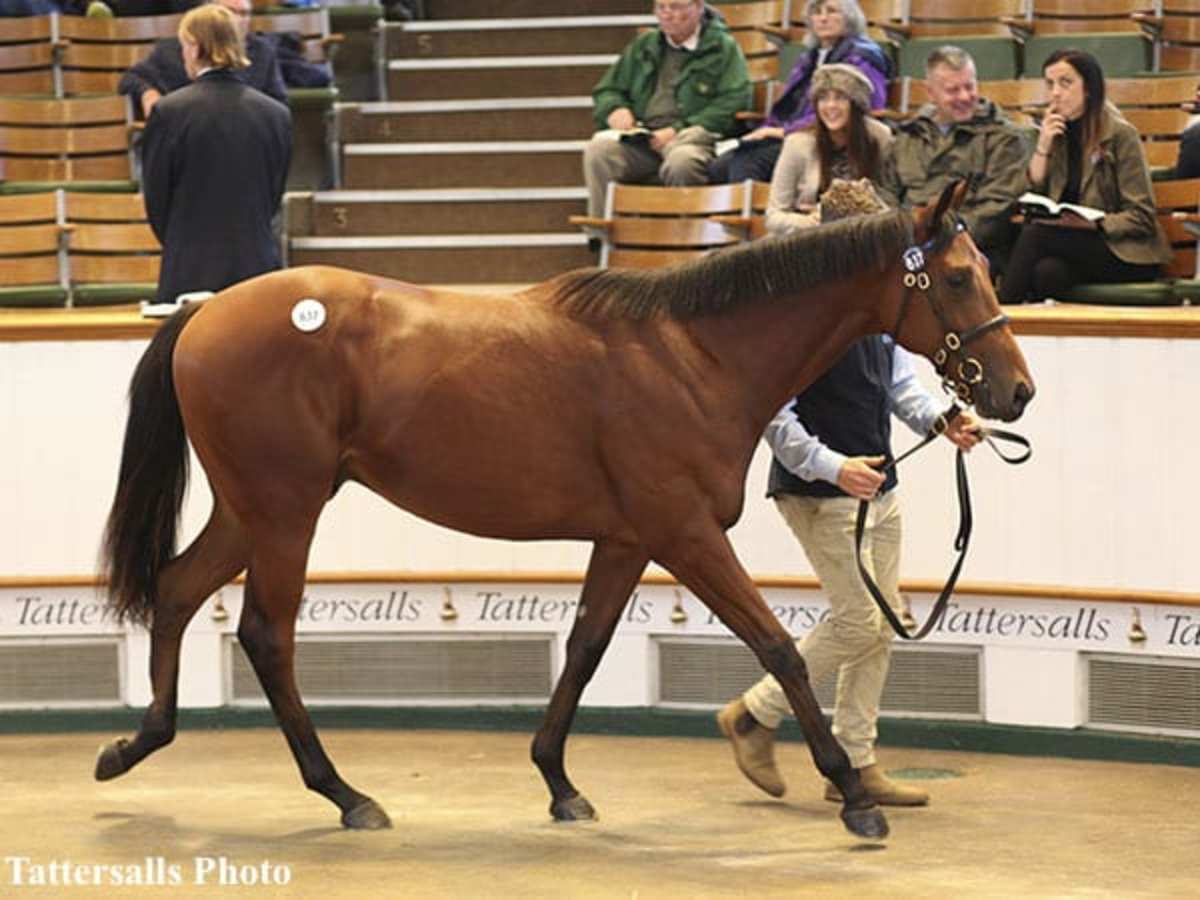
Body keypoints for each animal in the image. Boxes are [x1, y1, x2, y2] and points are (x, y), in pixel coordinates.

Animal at [96, 181, 1032, 844]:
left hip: (252, 509)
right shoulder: (686, 534)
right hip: (284, 512)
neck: (696, 355)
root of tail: (204, 313)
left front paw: (558, 781)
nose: (1016, 391)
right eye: (957, 277)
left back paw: (134, 746)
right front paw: (849, 794)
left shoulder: (625, 538)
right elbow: (780, 650)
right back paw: (345, 794)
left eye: (991, 270)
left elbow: (584, 648)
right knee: (265, 635)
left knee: (177, 591)